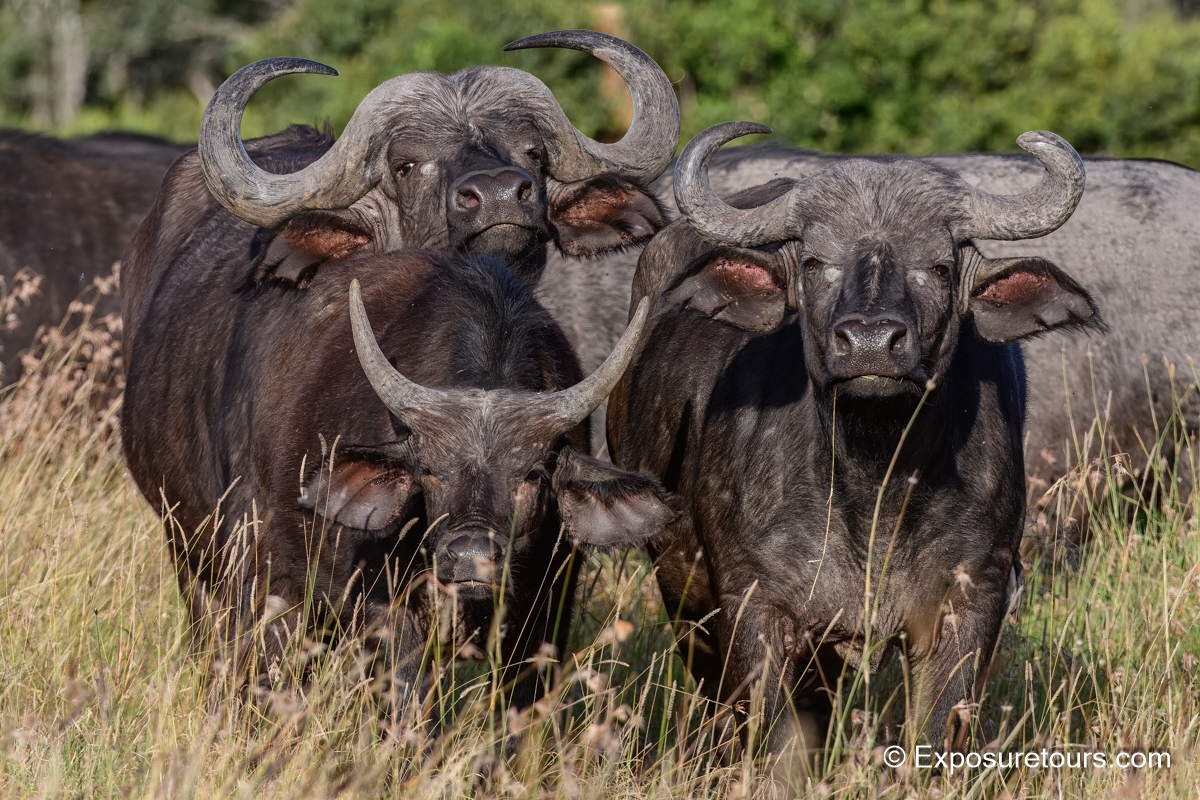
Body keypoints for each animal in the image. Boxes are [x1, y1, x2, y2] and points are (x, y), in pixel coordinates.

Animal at [609, 122, 1104, 762]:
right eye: (815, 261)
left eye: (940, 267)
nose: (870, 342)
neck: (873, 489)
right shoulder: (753, 604)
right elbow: (772, 739)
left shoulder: (975, 599)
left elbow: (937, 735)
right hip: (681, 588)